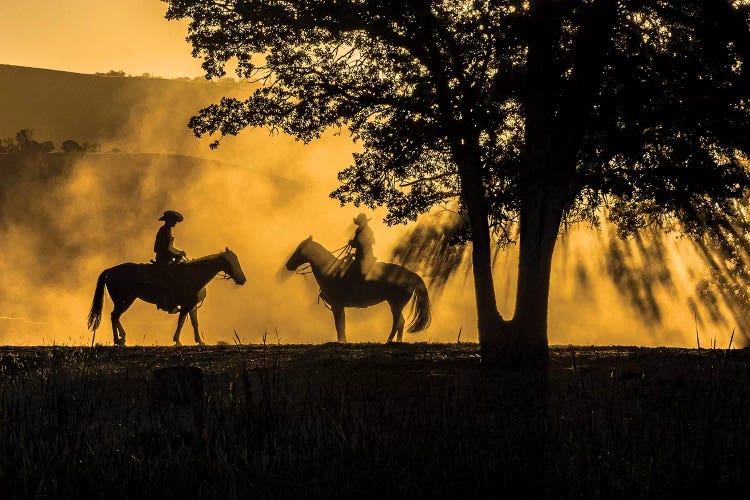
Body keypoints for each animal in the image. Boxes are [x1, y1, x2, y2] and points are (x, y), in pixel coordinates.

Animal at [88, 248, 247, 346]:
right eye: (231, 262)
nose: (243, 280)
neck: (194, 274)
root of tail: (110, 270)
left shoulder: (192, 305)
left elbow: (194, 323)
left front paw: (200, 341)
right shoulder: (186, 306)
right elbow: (181, 322)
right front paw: (177, 340)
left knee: (116, 316)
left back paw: (122, 338)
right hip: (124, 300)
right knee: (115, 316)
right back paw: (118, 340)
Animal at [286, 236, 432, 342]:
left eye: (300, 249)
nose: (288, 265)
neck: (330, 271)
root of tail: (411, 274)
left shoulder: (337, 305)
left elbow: (339, 325)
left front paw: (342, 342)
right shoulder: (338, 306)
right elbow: (341, 325)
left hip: (395, 303)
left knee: (398, 322)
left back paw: (389, 341)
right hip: (396, 304)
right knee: (400, 322)